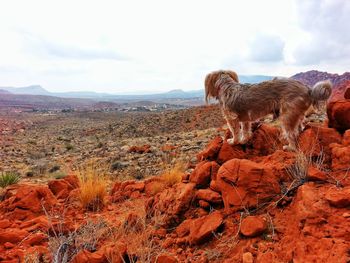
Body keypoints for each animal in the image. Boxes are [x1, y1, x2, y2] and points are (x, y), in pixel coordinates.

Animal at [205, 70, 334, 151]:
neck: (226, 86)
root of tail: (308, 89)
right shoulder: (245, 119)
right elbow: (245, 130)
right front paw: (244, 140)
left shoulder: (231, 119)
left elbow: (235, 131)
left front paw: (233, 141)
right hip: (295, 114)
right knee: (299, 127)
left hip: (286, 115)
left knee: (292, 134)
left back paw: (290, 147)